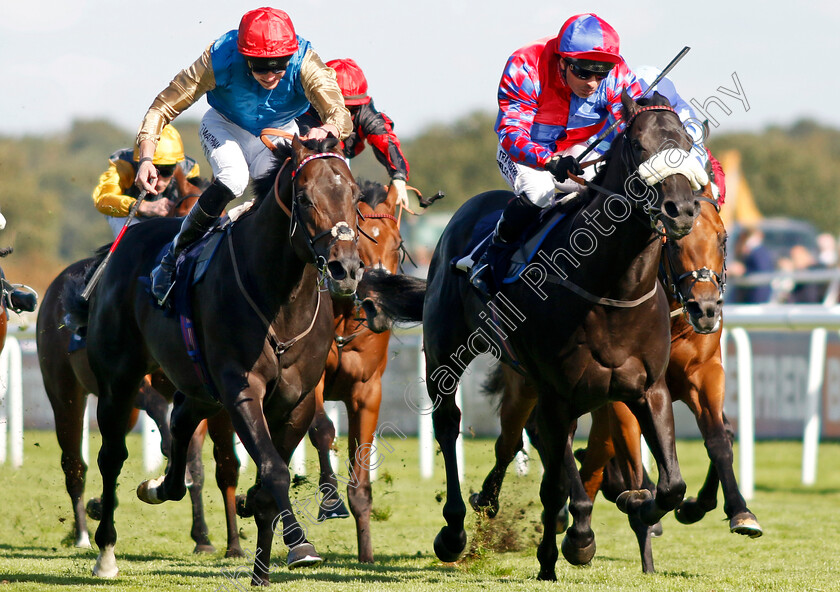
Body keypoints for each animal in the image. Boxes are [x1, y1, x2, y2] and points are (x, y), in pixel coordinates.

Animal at [64, 138, 366, 584]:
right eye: (306, 199)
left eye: (356, 196)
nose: (347, 269)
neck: (280, 299)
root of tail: (124, 242)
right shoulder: (241, 390)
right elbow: (274, 470)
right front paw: (300, 545)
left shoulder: (297, 400)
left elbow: (267, 484)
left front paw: (261, 571)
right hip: (118, 379)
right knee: (112, 456)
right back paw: (106, 552)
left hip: (199, 387)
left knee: (179, 422)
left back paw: (159, 487)